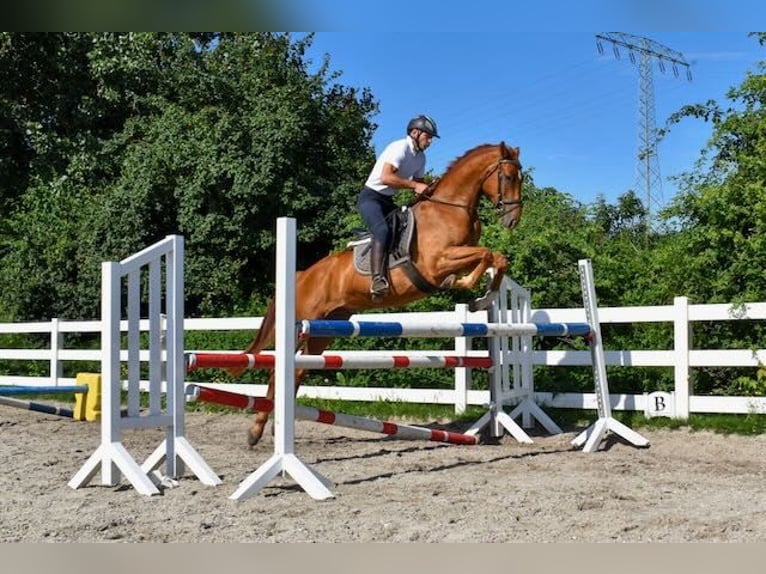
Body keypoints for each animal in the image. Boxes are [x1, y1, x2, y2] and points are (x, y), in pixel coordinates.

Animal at [231, 142, 524, 448]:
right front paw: (466, 286)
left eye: (521, 178)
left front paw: (483, 298)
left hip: (324, 330)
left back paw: (275, 426)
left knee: (297, 370)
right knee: (277, 371)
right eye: (508, 177)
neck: (450, 209)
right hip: (303, 323)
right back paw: (256, 430)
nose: (513, 220)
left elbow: (497, 258)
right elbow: (487, 254)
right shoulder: (437, 262)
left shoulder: (459, 256)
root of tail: (301, 275)